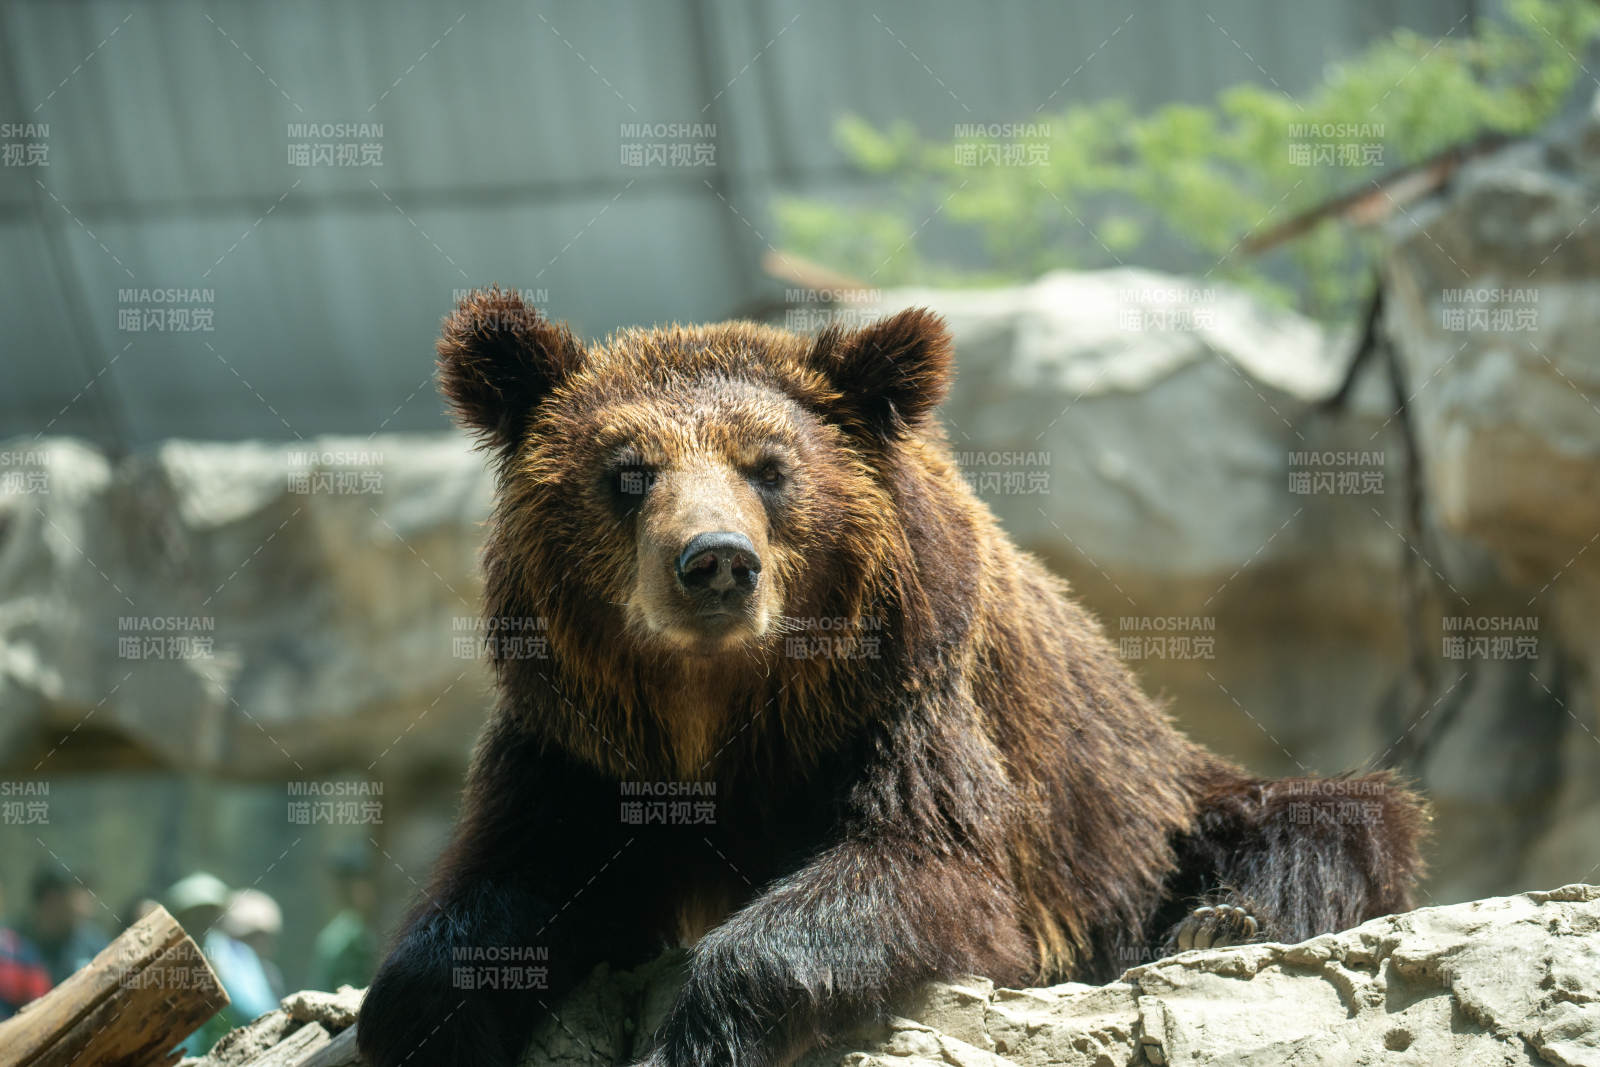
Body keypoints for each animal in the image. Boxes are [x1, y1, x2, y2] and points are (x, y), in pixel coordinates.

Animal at [356, 288, 1428, 1067]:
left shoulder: (902, 706)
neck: (719, 708)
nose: (715, 561)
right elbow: (502, 886)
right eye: (628, 470)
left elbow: (920, 863)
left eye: (769, 466)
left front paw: (696, 1036)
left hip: (1156, 812)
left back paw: (1219, 922)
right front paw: (425, 1016)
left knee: (1328, 819)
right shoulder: (577, 748)